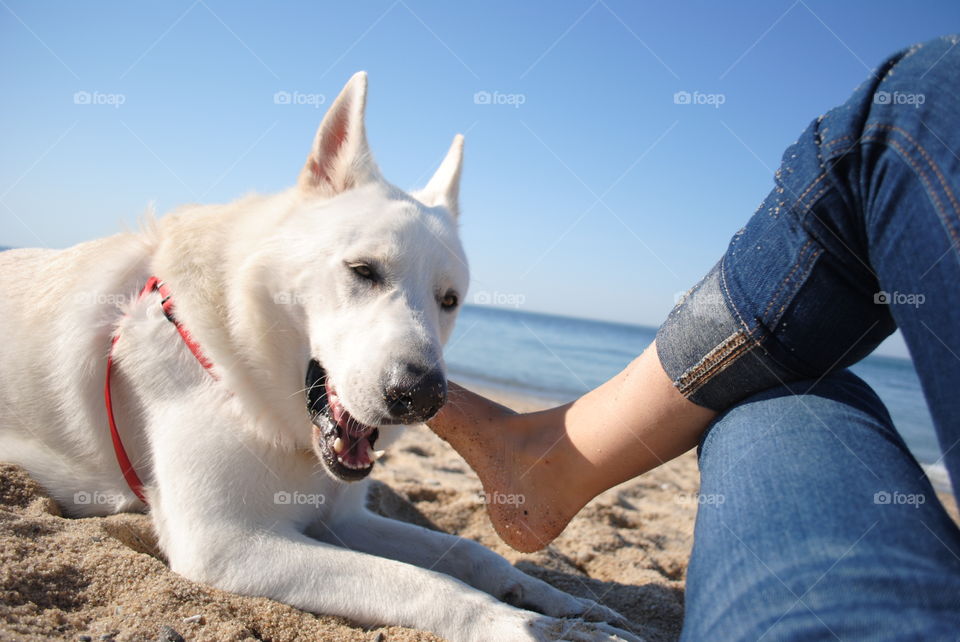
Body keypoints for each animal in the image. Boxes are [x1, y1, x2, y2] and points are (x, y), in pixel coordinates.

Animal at [0, 72, 636, 636]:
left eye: (450, 300)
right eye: (363, 270)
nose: (422, 396)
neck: (240, 372)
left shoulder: (342, 519)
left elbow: (468, 552)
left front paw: (552, 600)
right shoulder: (225, 542)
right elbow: (424, 583)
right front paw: (514, 624)